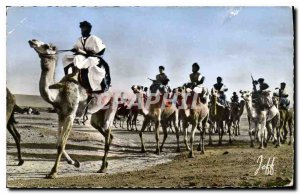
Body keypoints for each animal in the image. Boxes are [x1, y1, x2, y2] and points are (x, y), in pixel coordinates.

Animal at [28, 39, 116, 179]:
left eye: (47, 46)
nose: (32, 41)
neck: (58, 93)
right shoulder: (61, 115)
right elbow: (58, 143)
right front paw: (75, 162)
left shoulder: (71, 114)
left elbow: (61, 144)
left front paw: (53, 172)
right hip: (96, 115)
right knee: (107, 133)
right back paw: (105, 165)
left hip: (111, 108)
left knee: (107, 134)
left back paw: (102, 168)